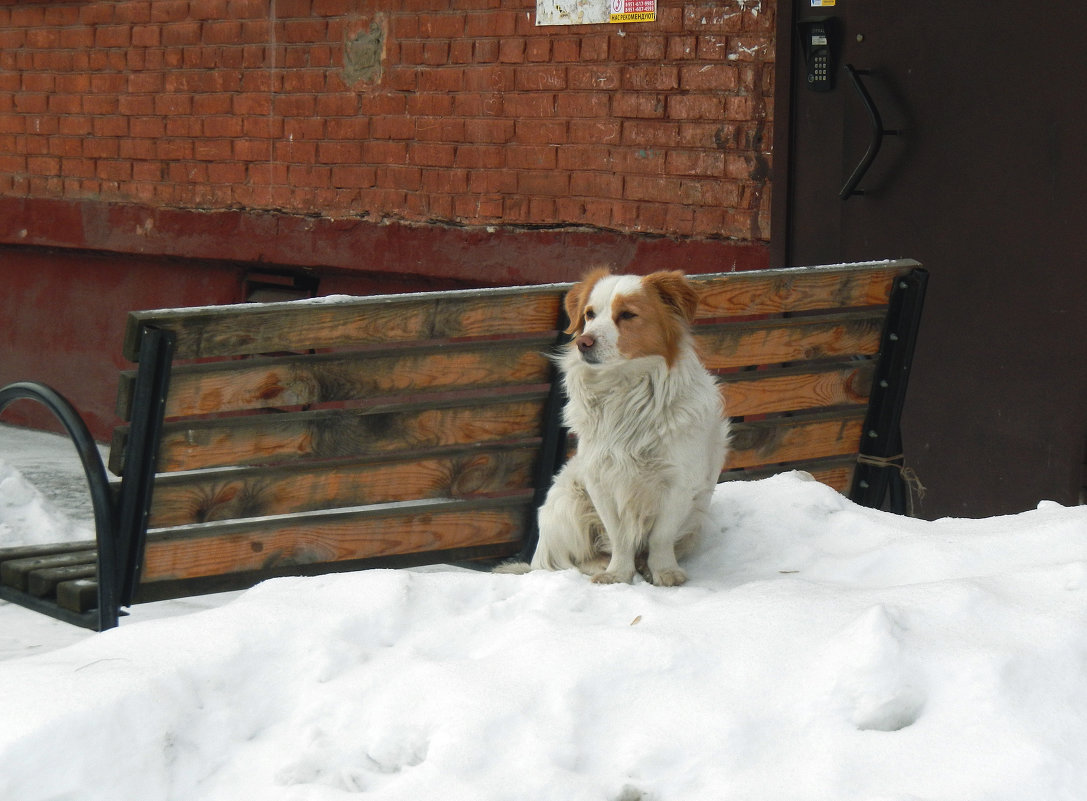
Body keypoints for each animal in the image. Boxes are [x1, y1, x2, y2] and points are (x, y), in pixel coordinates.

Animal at [526, 270, 730, 586]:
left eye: (627, 315)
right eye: (589, 314)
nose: (583, 342)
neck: (624, 389)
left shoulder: (679, 483)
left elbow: (660, 537)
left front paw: (664, 571)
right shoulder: (600, 482)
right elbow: (619, 536)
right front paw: (618, 574)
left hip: (696, 519)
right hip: (568, 501)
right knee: (565, 560)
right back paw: (599, 564)